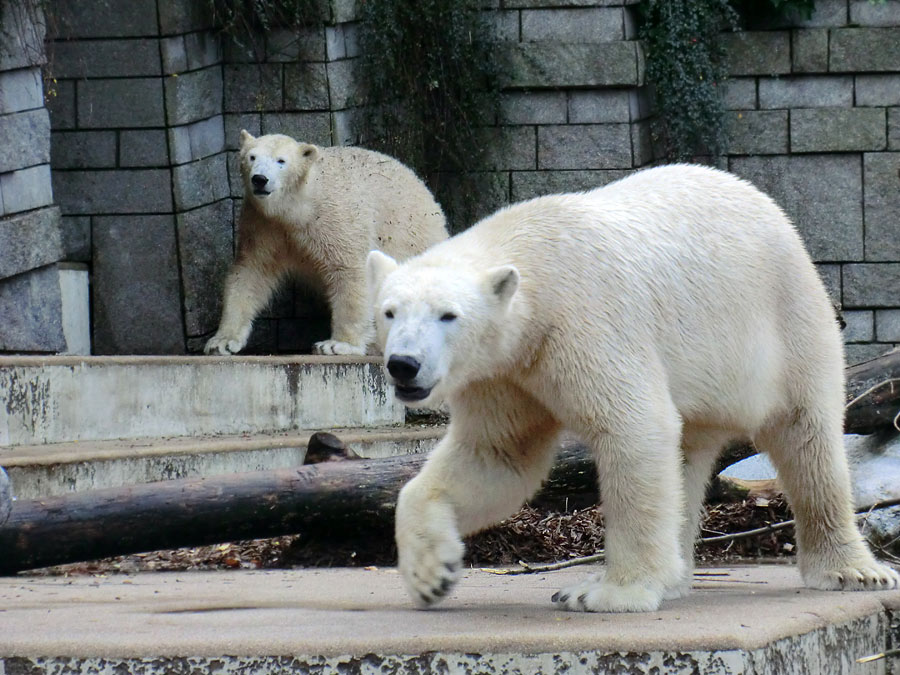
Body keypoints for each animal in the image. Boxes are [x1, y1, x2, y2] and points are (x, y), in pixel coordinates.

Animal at [202, 129, 444, 356]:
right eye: (252, 157)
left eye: (281, 161)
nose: (260, 179)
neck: (298, 207)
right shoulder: (264, 225)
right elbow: (251, 271)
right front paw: (222, 341)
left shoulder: (335, 218)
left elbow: (350, 271)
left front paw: (337, 345)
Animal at [368, 162, 900, 612]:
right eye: (390, 311)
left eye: (448, 315)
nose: (404, 365)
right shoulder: (505, 373)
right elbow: (497, 456)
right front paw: (431, 575)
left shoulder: (584, 322)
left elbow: (633, 428)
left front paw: (608, 593)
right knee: (686, 458)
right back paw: (678, 575)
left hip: (784, 322)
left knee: (805, 435)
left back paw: (852, 570)